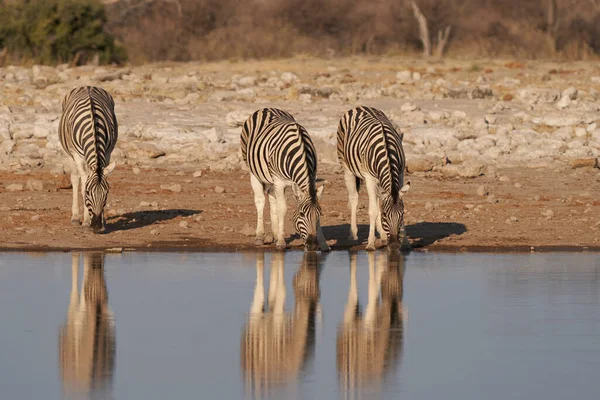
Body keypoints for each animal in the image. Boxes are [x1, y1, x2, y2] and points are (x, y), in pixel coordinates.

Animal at [59, 86, 118, 233]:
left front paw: (103, 222)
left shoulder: (107, 153)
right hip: (70, 154)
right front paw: (86, 220)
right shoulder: (77, 155)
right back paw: (75, 217)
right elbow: (82, 182)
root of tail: (87, 86)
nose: (96, 226)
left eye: (107, 193)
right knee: (75, 179)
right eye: (87, 193)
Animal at [241, 108, 330, 252]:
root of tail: (266, 108)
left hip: (270, 178)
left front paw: (324, 244)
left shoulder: (313, 176)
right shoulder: (279, 181)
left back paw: (275, 233)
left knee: (272, 198)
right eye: (301, 214)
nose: (312, 246)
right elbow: (282, 208)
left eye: (319, 214)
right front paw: (281, 242)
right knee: (260, 200)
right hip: (254, 172)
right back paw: (259, 236)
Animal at [336, 106, 410, 250]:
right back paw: (353, 235)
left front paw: (405, 241)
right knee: (354, 198)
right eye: (385, 215)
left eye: (402, 215)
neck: (386, 149)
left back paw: (382, 234)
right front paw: (370, 243)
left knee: (377, 198)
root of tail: (359, 107)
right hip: (347, 168)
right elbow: (373, 210)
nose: (394, 245)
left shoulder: (400, 172)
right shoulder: (369, 178)